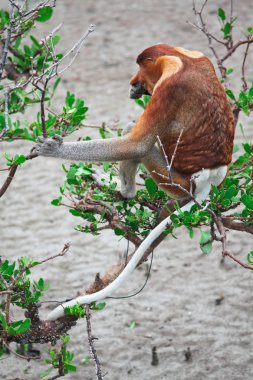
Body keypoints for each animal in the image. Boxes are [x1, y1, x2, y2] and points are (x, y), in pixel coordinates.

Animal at [35, 43, 233, 320]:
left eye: (140, 69)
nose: (133, 83)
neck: (179, 57)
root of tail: (210, 177)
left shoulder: (169, 88)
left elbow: (135, 144)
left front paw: (53, 149)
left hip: (174, 179)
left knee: (139, 143)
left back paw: (125, 192)